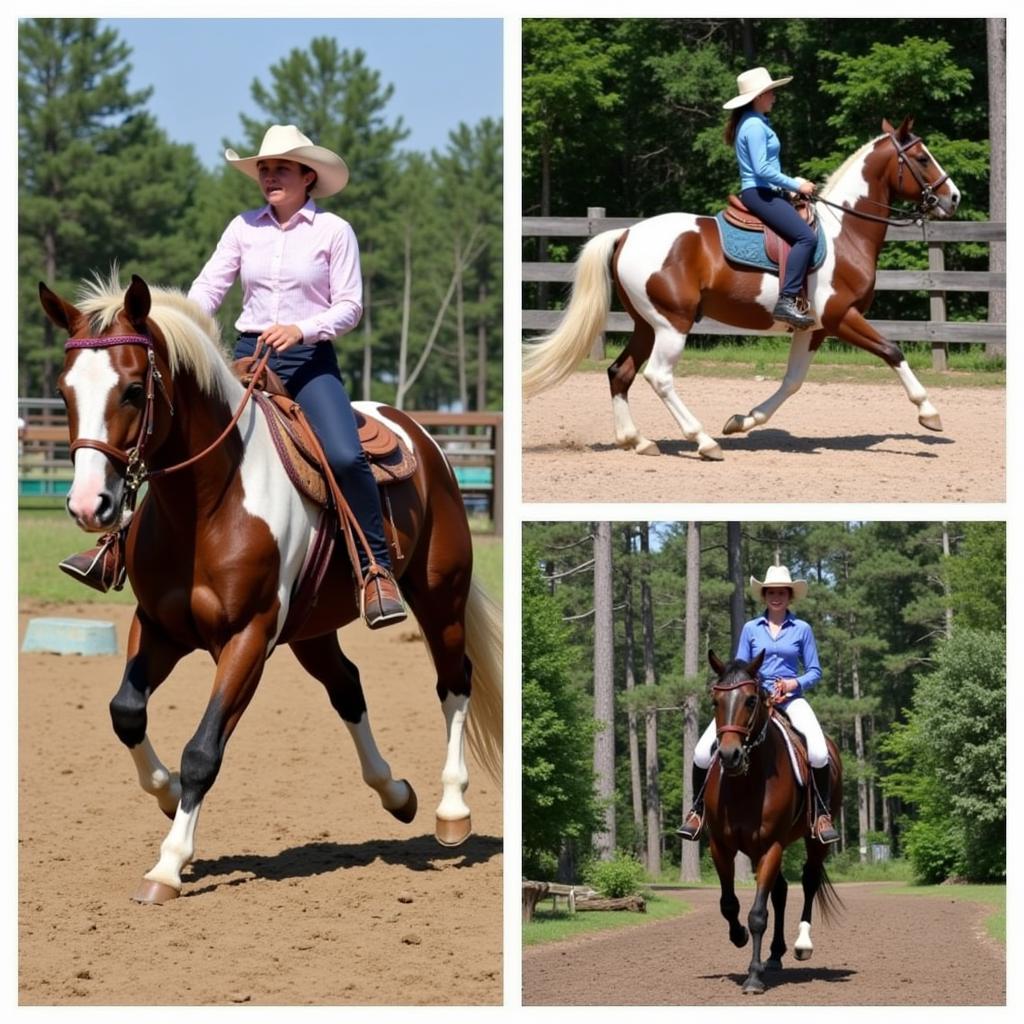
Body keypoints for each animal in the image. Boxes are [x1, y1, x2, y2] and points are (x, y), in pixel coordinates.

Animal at [39, 274, 503, 905]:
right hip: (312, 629)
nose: (91, 505)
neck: (206, 505)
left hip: (439, 596)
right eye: (64, 393)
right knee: (347, 686)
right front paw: (165, 794)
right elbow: (126, 712)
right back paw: (396, 793)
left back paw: (451, 810)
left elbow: (202, 751)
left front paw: (167, 866)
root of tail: (425, 441)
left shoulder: (248, 638)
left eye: (134, 390)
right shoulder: (157, 626)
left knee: (453, 683)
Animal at [524, 116, 962, 460]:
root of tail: (627, 233)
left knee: (620, 371)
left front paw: (742, 420)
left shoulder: (815, 328)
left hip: (646, 324)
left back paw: (637, 440)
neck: (845, 233)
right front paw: (929, 413)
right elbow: (893, 351)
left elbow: (793, 381)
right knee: (658, 377)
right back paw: (702, 441)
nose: (953, 197)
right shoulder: (842, 317)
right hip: (672, 324)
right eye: (922, 158)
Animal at [704, 651, 839, 995]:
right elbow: (729, 904)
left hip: (812, 840)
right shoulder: (721, 846)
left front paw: (753, 976)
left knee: (808, 881)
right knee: (780, 890)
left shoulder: (771, 846)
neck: (746, 783)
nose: (729, 755)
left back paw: (801, 945)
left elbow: (757, 914)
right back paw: (775, 954)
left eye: (751, 700)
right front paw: (738, 936)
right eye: (715, 701)